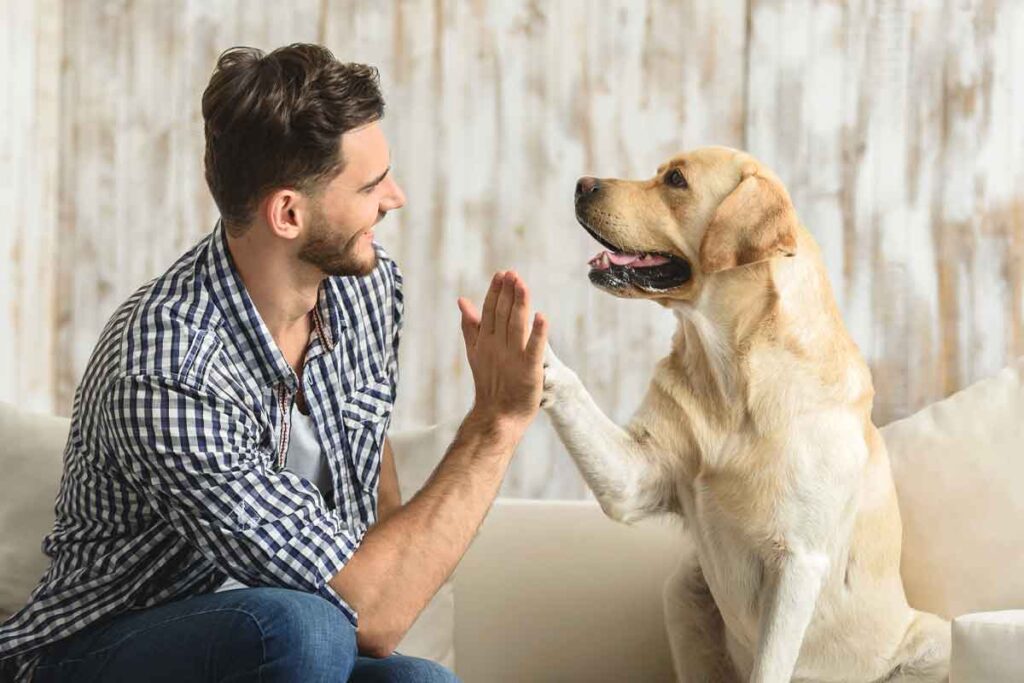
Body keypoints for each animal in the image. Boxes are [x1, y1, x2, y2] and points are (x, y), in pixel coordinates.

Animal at [544, 149, 950, 683]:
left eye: (676, 180)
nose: (580, 184)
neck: (730, 375)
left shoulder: (798, 561)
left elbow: (770, 665)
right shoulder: (635, 479)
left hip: (933, 640)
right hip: (684, 590)